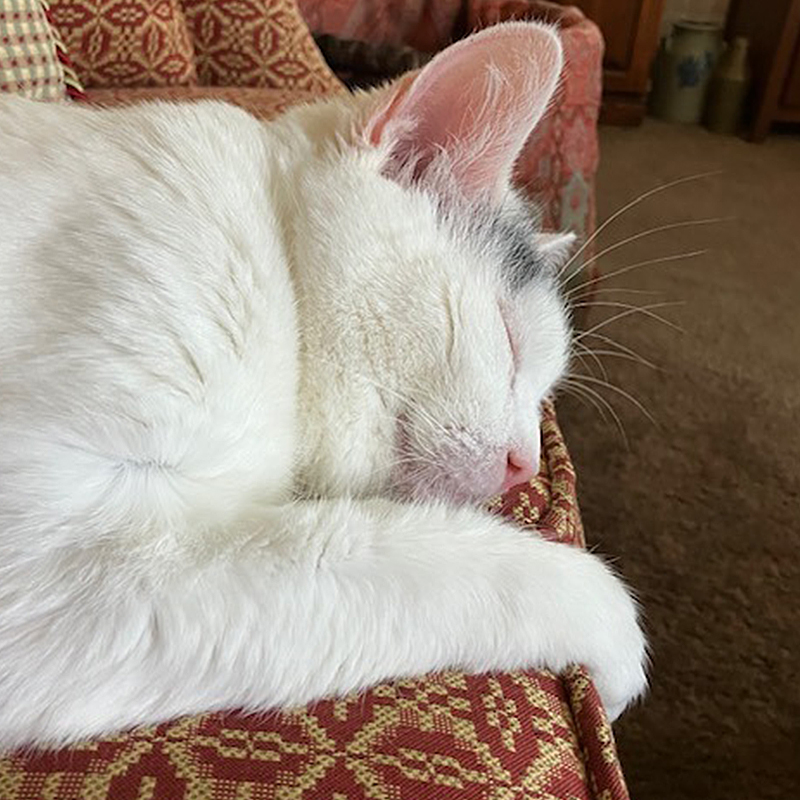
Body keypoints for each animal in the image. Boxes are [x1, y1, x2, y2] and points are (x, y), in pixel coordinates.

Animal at [0, 23, 648, 752]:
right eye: (510, 341)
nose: (525, 465)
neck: (272, 253)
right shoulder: (62, 556)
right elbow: (426, 553)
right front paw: (611, 634)